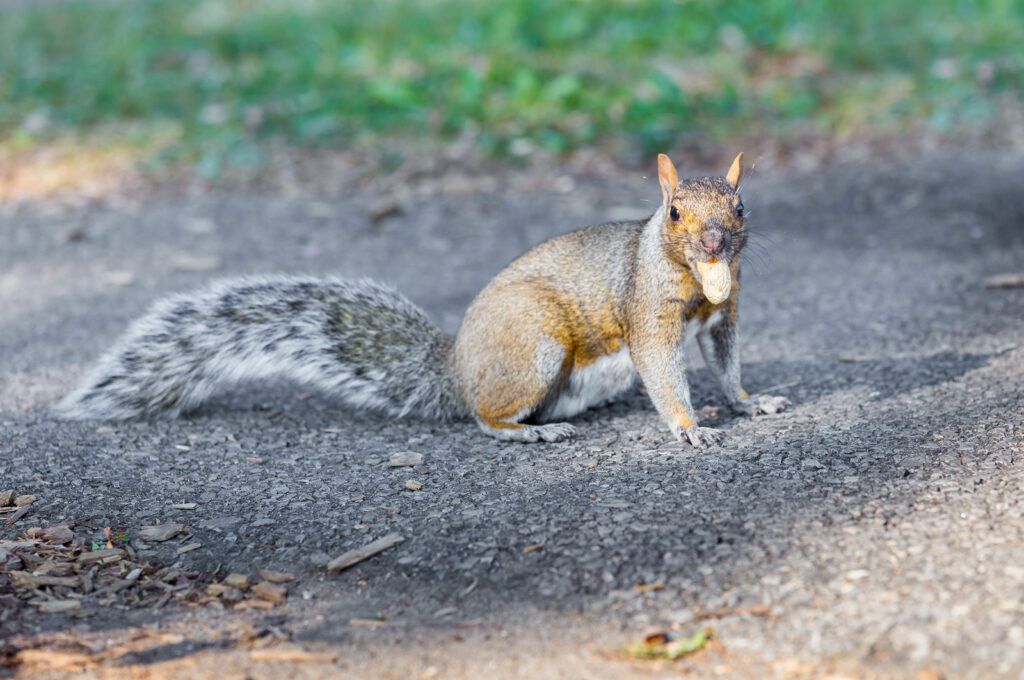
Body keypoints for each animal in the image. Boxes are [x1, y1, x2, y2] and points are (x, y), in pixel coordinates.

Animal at [58, 156, 790, 448]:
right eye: (674, 213)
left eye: (740, 206)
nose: (718, 242)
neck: (696, 280)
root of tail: (458, 370)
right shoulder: (648, 314)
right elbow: (664, 371)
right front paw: (691, 427)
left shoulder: (721, 319)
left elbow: (725, 365)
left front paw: (750, 404)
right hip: (535, 347)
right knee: (485, 418)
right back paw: (530, 431)